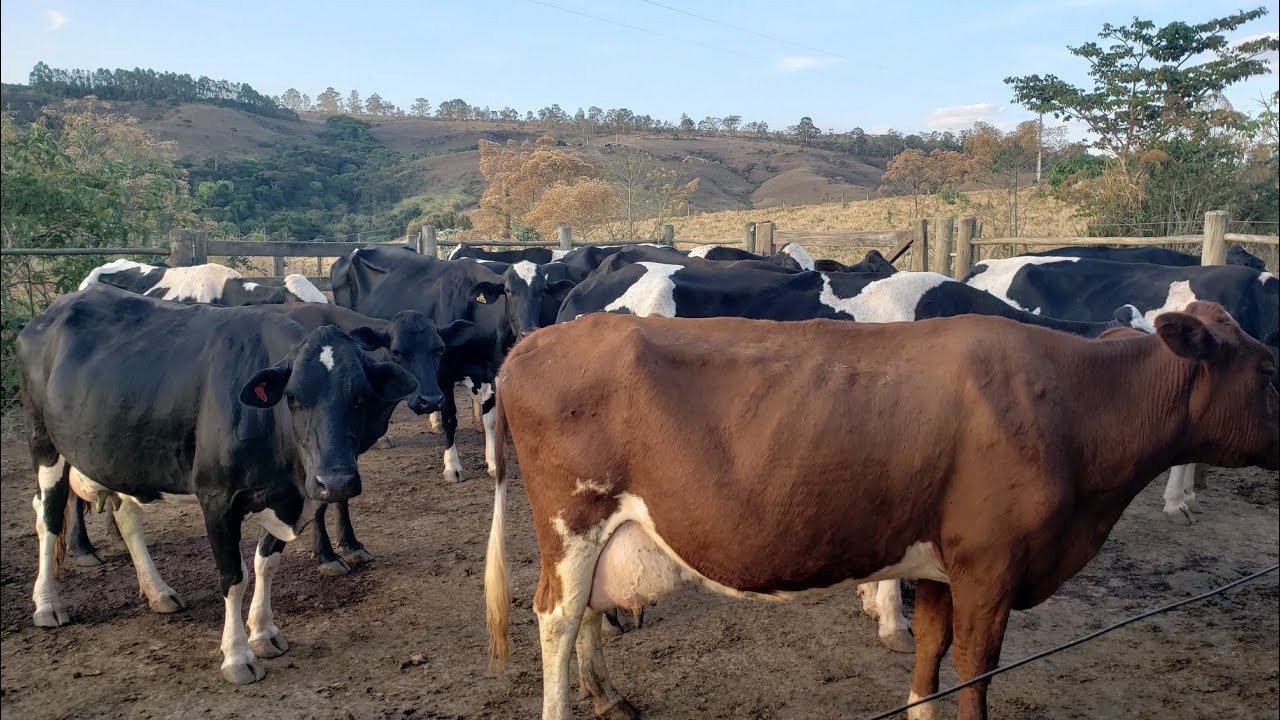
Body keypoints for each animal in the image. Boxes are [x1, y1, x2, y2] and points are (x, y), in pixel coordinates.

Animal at [18, 284, 417, 684]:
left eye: (360, 397)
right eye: (292, 397)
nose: (334, 481)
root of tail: (53, 309)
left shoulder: (285, 496)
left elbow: (265, 564)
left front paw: (264, 633)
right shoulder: (217, 498)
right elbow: (233, 576)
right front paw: (238, 656)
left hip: (117, 457)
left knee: (126, 515)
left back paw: (158, 592)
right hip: (44, 443)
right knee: (48, 517)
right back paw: (47, 604)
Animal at [331, 246, 572, 482]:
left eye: (542, 292)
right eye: (509, 291)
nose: (528, 332)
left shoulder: (492, 373)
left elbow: (491, 420)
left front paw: (493, 463)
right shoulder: (443, 375)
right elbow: (450, 418)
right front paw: (452, 466)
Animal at [484, 305, 1279, 720]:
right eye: (1270, 368)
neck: (1075, 404)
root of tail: (536, 340)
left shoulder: (941, 565)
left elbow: (930, 658)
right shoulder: (992, 564)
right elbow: (974, 672)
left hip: (602, 531)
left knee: (589, 612)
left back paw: (609, 697)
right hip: (573, 518)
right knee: (556, 616)